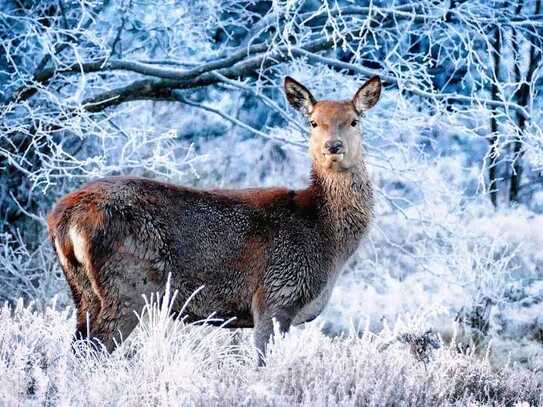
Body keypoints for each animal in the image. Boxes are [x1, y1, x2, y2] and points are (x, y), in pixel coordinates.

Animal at [47, 75, 382, 364]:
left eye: (354, 121)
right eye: (313, 122)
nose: (333, 147)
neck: (325, 234)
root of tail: (62, 217)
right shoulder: (275, 296)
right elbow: (263, 364)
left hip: (83, 292)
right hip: (128, 285)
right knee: (93, 352)